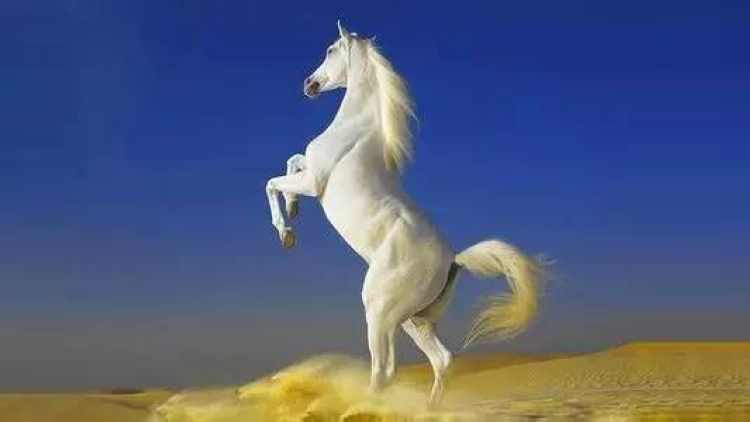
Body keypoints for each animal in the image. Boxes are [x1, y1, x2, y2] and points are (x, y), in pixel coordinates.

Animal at [265, 21, 546, 405]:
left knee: (384, 370)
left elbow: (273, 182)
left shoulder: (315, 182)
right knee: (441, 360)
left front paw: (287, 232)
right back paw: (428, 408)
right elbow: (292, 161)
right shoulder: (309, 174)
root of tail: (453, 260)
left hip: (379, 311)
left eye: (330, 50)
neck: (356, 131)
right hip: (413, 320)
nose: (309, 84)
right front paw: (293, 210)